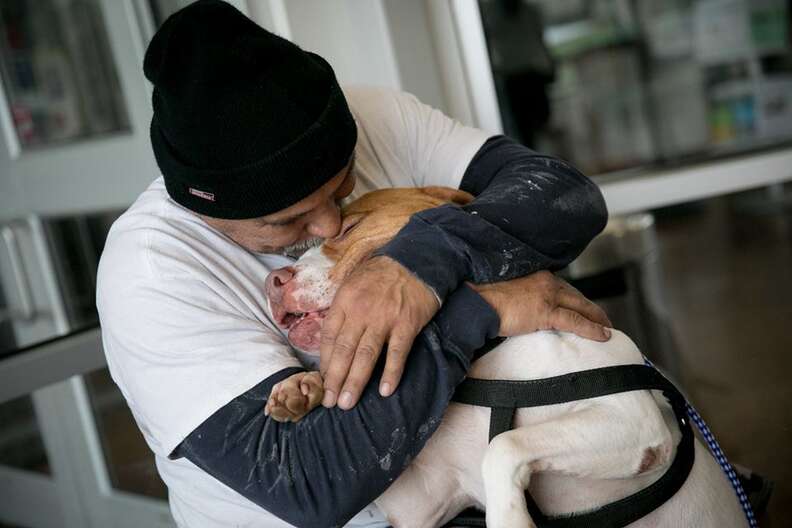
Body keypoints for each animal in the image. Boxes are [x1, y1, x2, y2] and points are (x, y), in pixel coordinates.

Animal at [262, 188, 744, 528]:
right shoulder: (421, 503)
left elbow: (503, 445)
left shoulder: (630, 419)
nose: (273, 280)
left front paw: (510, 520)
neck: (482, 358)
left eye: (346, 231)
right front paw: (303, 387)